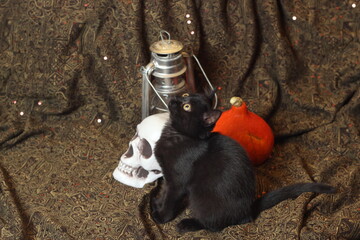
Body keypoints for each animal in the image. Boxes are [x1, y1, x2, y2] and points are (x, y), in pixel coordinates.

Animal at [150, 92, 336, 232]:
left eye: (186, 107)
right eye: (185, 95)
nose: (174, 98)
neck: (176, 135)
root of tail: (249, 209)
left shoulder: (177, 182)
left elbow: (170, 199)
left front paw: (161, 216)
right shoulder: (167, 176)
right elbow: (164, 191)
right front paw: (156, 204)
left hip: (201, 200)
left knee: (216, 225)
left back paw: (188, 224)